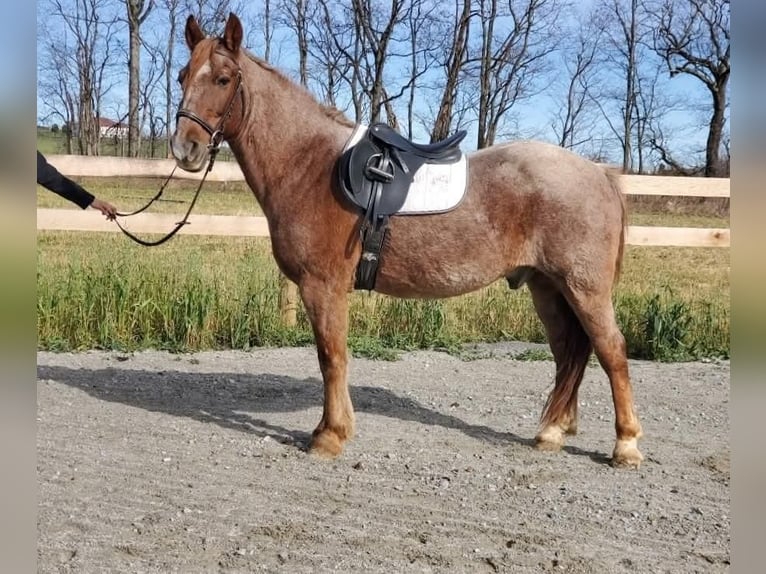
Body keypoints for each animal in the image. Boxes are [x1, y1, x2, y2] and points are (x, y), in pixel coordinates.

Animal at [171, 13, 644, 470]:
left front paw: (329, 436)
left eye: (223, 79)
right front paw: (330, 429)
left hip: (584, 289)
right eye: (182, 75)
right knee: (568, 352)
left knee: (612, 352)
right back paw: (552, 433)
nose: (184, 149)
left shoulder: (322, 287)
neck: (308, 164)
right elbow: (332, 357)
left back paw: (625, 445)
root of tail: (599, 172)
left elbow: (331, 357)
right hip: (547, 287)